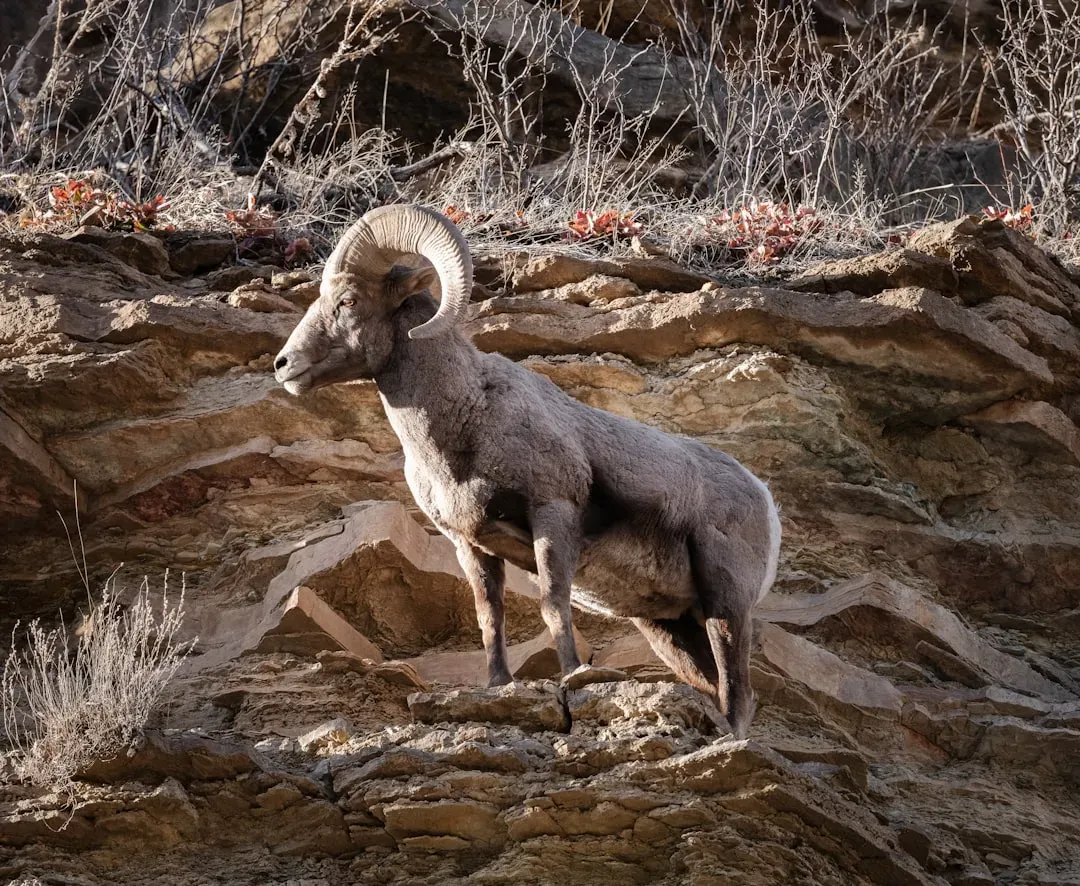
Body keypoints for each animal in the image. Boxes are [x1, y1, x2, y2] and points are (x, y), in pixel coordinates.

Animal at [273, 204, 781, 737]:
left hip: (725, 602)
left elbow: (553, 604)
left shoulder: (552, 513)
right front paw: (499, 685)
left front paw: (573, 674)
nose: (284, 365)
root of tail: (765, 500)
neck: (467, 420)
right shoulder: (471, 545)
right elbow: (489, 618)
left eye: (348, 300)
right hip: (669, 627)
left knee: (737, 689)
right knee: (716, 686)